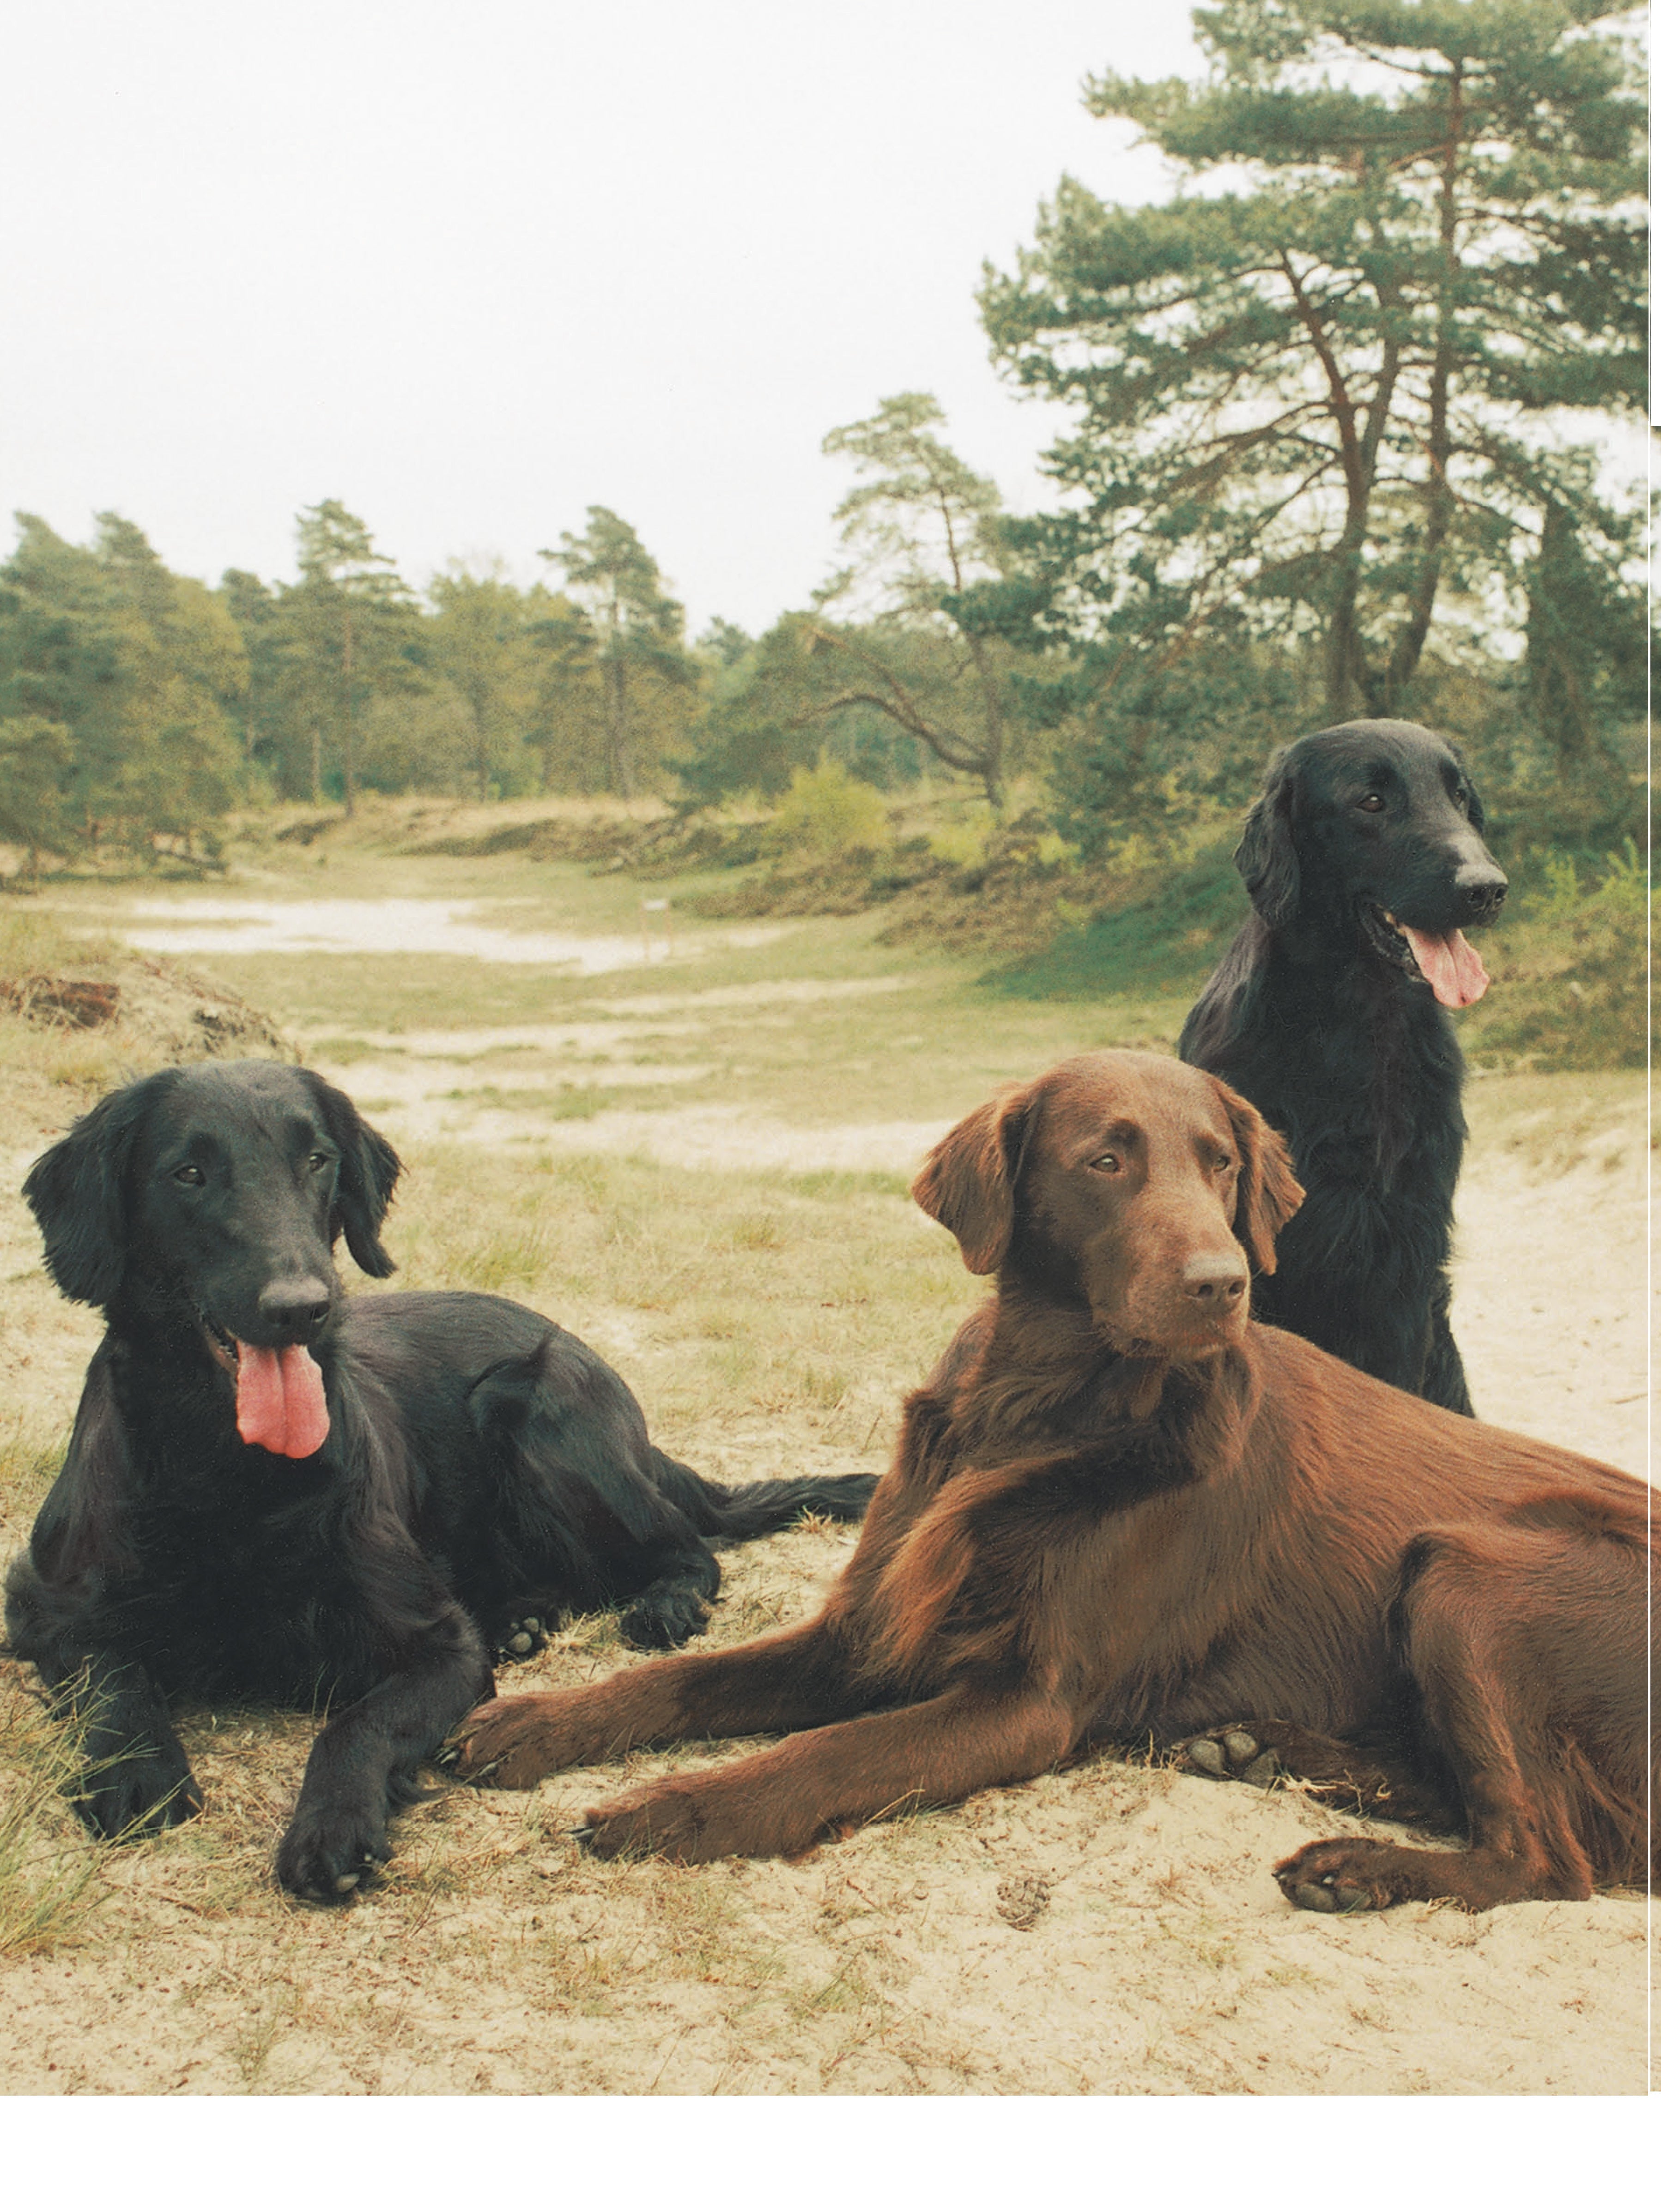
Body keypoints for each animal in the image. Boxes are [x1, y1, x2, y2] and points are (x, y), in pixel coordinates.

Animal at [6, 1062, 876, 1893]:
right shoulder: (41, 1602)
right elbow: (111, 1677)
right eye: (188, 1173)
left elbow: (355, 1723)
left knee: (687, 1549)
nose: (302, 1307)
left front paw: (332, 1826)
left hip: (538, 1412)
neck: (233, 1469)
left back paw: (659, 1605)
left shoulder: (438, 1646)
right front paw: (137, 1771)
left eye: (316, 1161)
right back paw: (523, 1619)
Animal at [449, 1044, 1654, 1911]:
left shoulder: (1028, 1700)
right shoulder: (865, 1626)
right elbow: (676, 1681)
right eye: (1104, 1159)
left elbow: (824, 1754)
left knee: (1545, 1855)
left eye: (1220, 1161)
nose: (1222, 1282)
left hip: (1463, 1568)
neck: (1037, 1413)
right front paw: (531, 1725)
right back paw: (1263, 1747)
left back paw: (1352, 1865)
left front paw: (674, 1808)